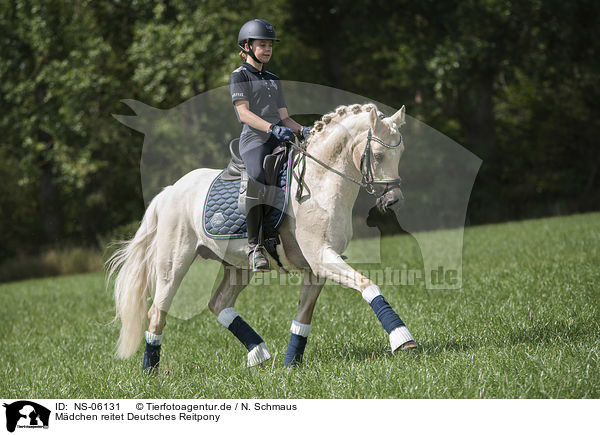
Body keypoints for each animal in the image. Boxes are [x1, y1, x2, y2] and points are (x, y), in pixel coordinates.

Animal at [108, 103, 414, 372]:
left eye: (400, 153)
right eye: (377, 156)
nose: (393, 201)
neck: (320, 183)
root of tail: (169, 191)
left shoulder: (317, 268)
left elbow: (302, 319)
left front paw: (291, 365)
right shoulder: (322, 257)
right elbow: (367, 284)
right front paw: (402, 339)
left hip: (238, 267)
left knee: (218, 304)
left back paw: (259, 353)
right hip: (174, 265)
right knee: (156, 314)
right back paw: (151, 372)